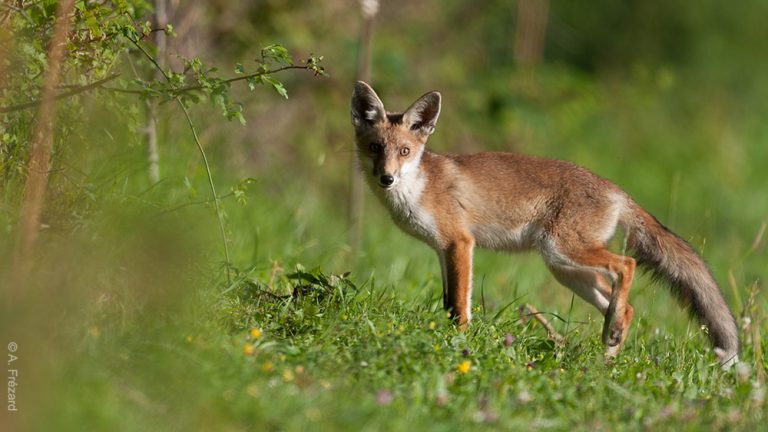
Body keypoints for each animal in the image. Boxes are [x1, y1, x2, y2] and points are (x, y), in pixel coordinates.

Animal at [352, 80, 736, 368]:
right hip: (564, 268)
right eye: (375, 148)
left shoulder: (459, 242)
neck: (417, 189)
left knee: (626, 265)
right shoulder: (442, 249)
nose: (386, 178)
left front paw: (458, 342)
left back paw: (610, 341)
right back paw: (607, 357)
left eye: (404, 151)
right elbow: (449, 303)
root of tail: (618, 190)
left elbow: (459, 306)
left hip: (565, 250)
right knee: (626, 307)